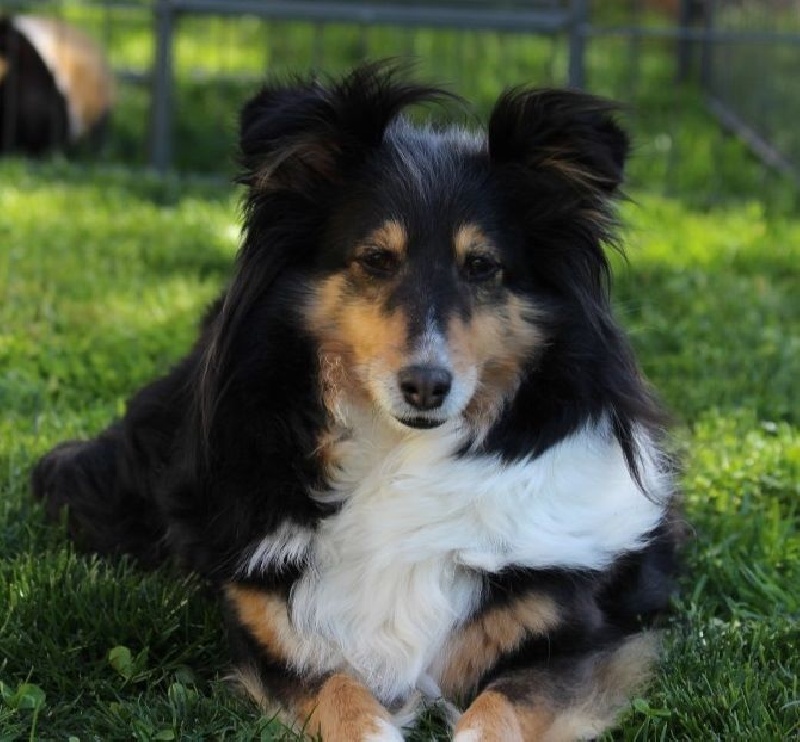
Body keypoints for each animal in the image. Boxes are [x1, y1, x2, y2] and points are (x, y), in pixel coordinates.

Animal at [33, 63, 680, 741]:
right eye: (375, 258)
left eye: (482, 266)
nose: (425, 385)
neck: (402, 455)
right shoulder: (274, 633)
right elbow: (341, 691)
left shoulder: (578, 641)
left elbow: (499, 707)